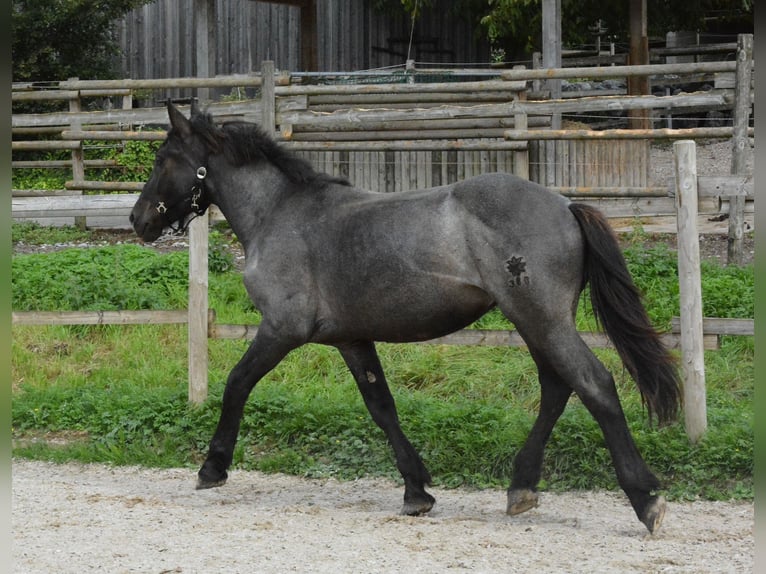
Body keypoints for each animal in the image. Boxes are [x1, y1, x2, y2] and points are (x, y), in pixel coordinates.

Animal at [132, 102, 684, 536]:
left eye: (163, 159)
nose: (138, 220)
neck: (281, 214)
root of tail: (566, 204)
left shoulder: (282, 330)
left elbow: (237, 383)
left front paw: (212, 467)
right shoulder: (352, 340)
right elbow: (382, 407)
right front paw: (417, 490)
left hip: (542, 319)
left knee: (594, 384)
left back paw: (645, 499)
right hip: (537, 322)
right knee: (556, 387)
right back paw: (522, 487)